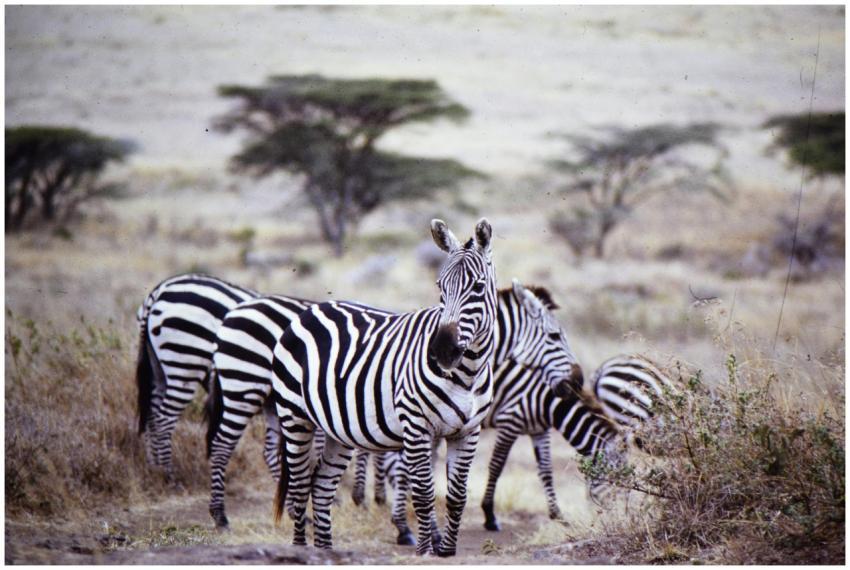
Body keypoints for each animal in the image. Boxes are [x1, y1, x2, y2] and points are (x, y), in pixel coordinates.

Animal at [136, 273, 257, 481]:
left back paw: (154, 468)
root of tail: (160, 289)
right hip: (184, 365)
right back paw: (169, 476)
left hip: (158, 368)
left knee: (152, 412)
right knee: (163, 419)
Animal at [272, 218, 499, 556]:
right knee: (300, 487)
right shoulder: (416, 426)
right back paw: (300, 551)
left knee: (321, 486)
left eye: (478, 288)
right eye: (439, 287)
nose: (441, 351)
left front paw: (447, 552)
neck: (467, 374)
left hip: (337, 431)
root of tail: (310, 310)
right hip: (294, 416)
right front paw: (425, 553)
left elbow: (457, 496)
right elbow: (423, 494)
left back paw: (324, 553)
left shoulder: (468, 432)